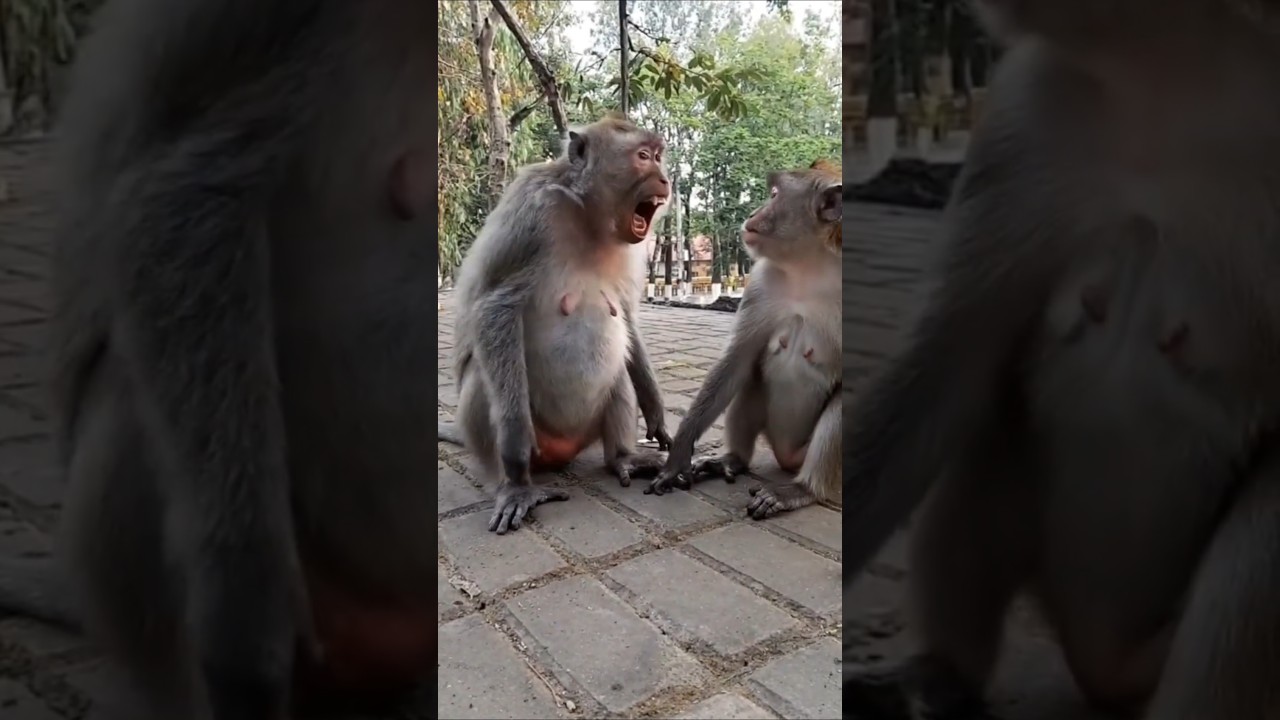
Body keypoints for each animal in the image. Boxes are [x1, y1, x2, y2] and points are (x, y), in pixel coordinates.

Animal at [437, 113, 674, 535]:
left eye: (659, 157)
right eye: (644, 157)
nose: (665, 179)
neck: (587, 213)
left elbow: (626, 318)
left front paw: (656, 412)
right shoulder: (532, 210)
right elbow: (496, 307)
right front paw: (515, 452)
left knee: (618, 373)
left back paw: (623, 457)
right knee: (485, 375)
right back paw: (516, 482)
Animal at [646, 160, 842, 520]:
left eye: (775, 195)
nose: (753, 212)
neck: (810, 267)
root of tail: (787, 456)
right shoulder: (762, 281)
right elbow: (738, 358)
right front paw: (679, 452)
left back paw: (802, 490)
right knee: (750, 375)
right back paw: (732, 459)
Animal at [842, 1, 1280, 718]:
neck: (1173, 68)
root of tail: (1102, 658)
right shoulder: (1024, 117)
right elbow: (943, 368)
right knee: (992, 434)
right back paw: (941, 675)